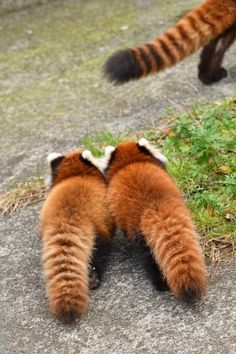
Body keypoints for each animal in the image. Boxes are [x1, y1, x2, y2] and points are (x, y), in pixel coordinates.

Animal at [103, 140, 206, 304]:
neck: (130, 162)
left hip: (139, 231)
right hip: (184, 216)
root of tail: (153, 206)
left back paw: (160, 284)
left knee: (148, 258)